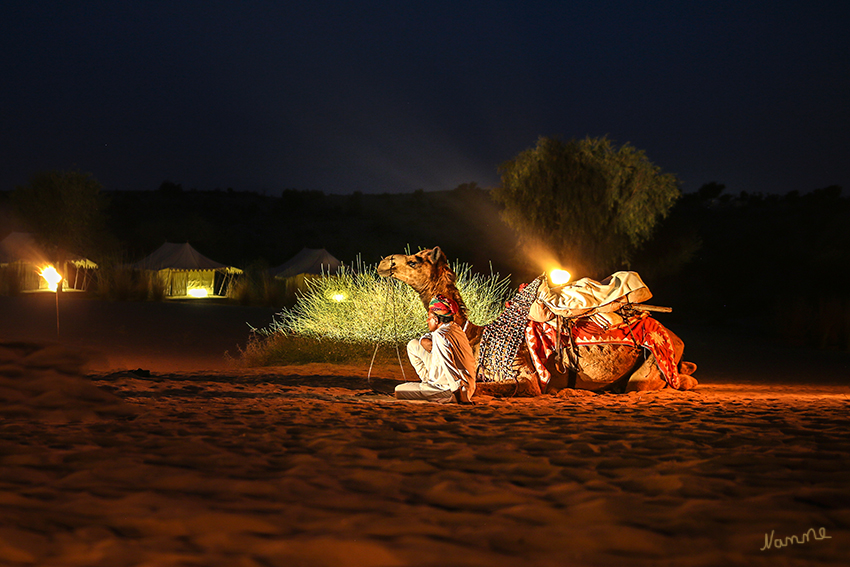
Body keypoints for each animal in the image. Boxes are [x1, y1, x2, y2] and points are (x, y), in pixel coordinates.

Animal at [378, 246, 696, 398]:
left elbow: (488, 388)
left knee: (656, 384)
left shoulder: (527, 377)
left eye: (415, 261)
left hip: (655, 361)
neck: (475, 336)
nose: (384, 262)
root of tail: (675, 336)